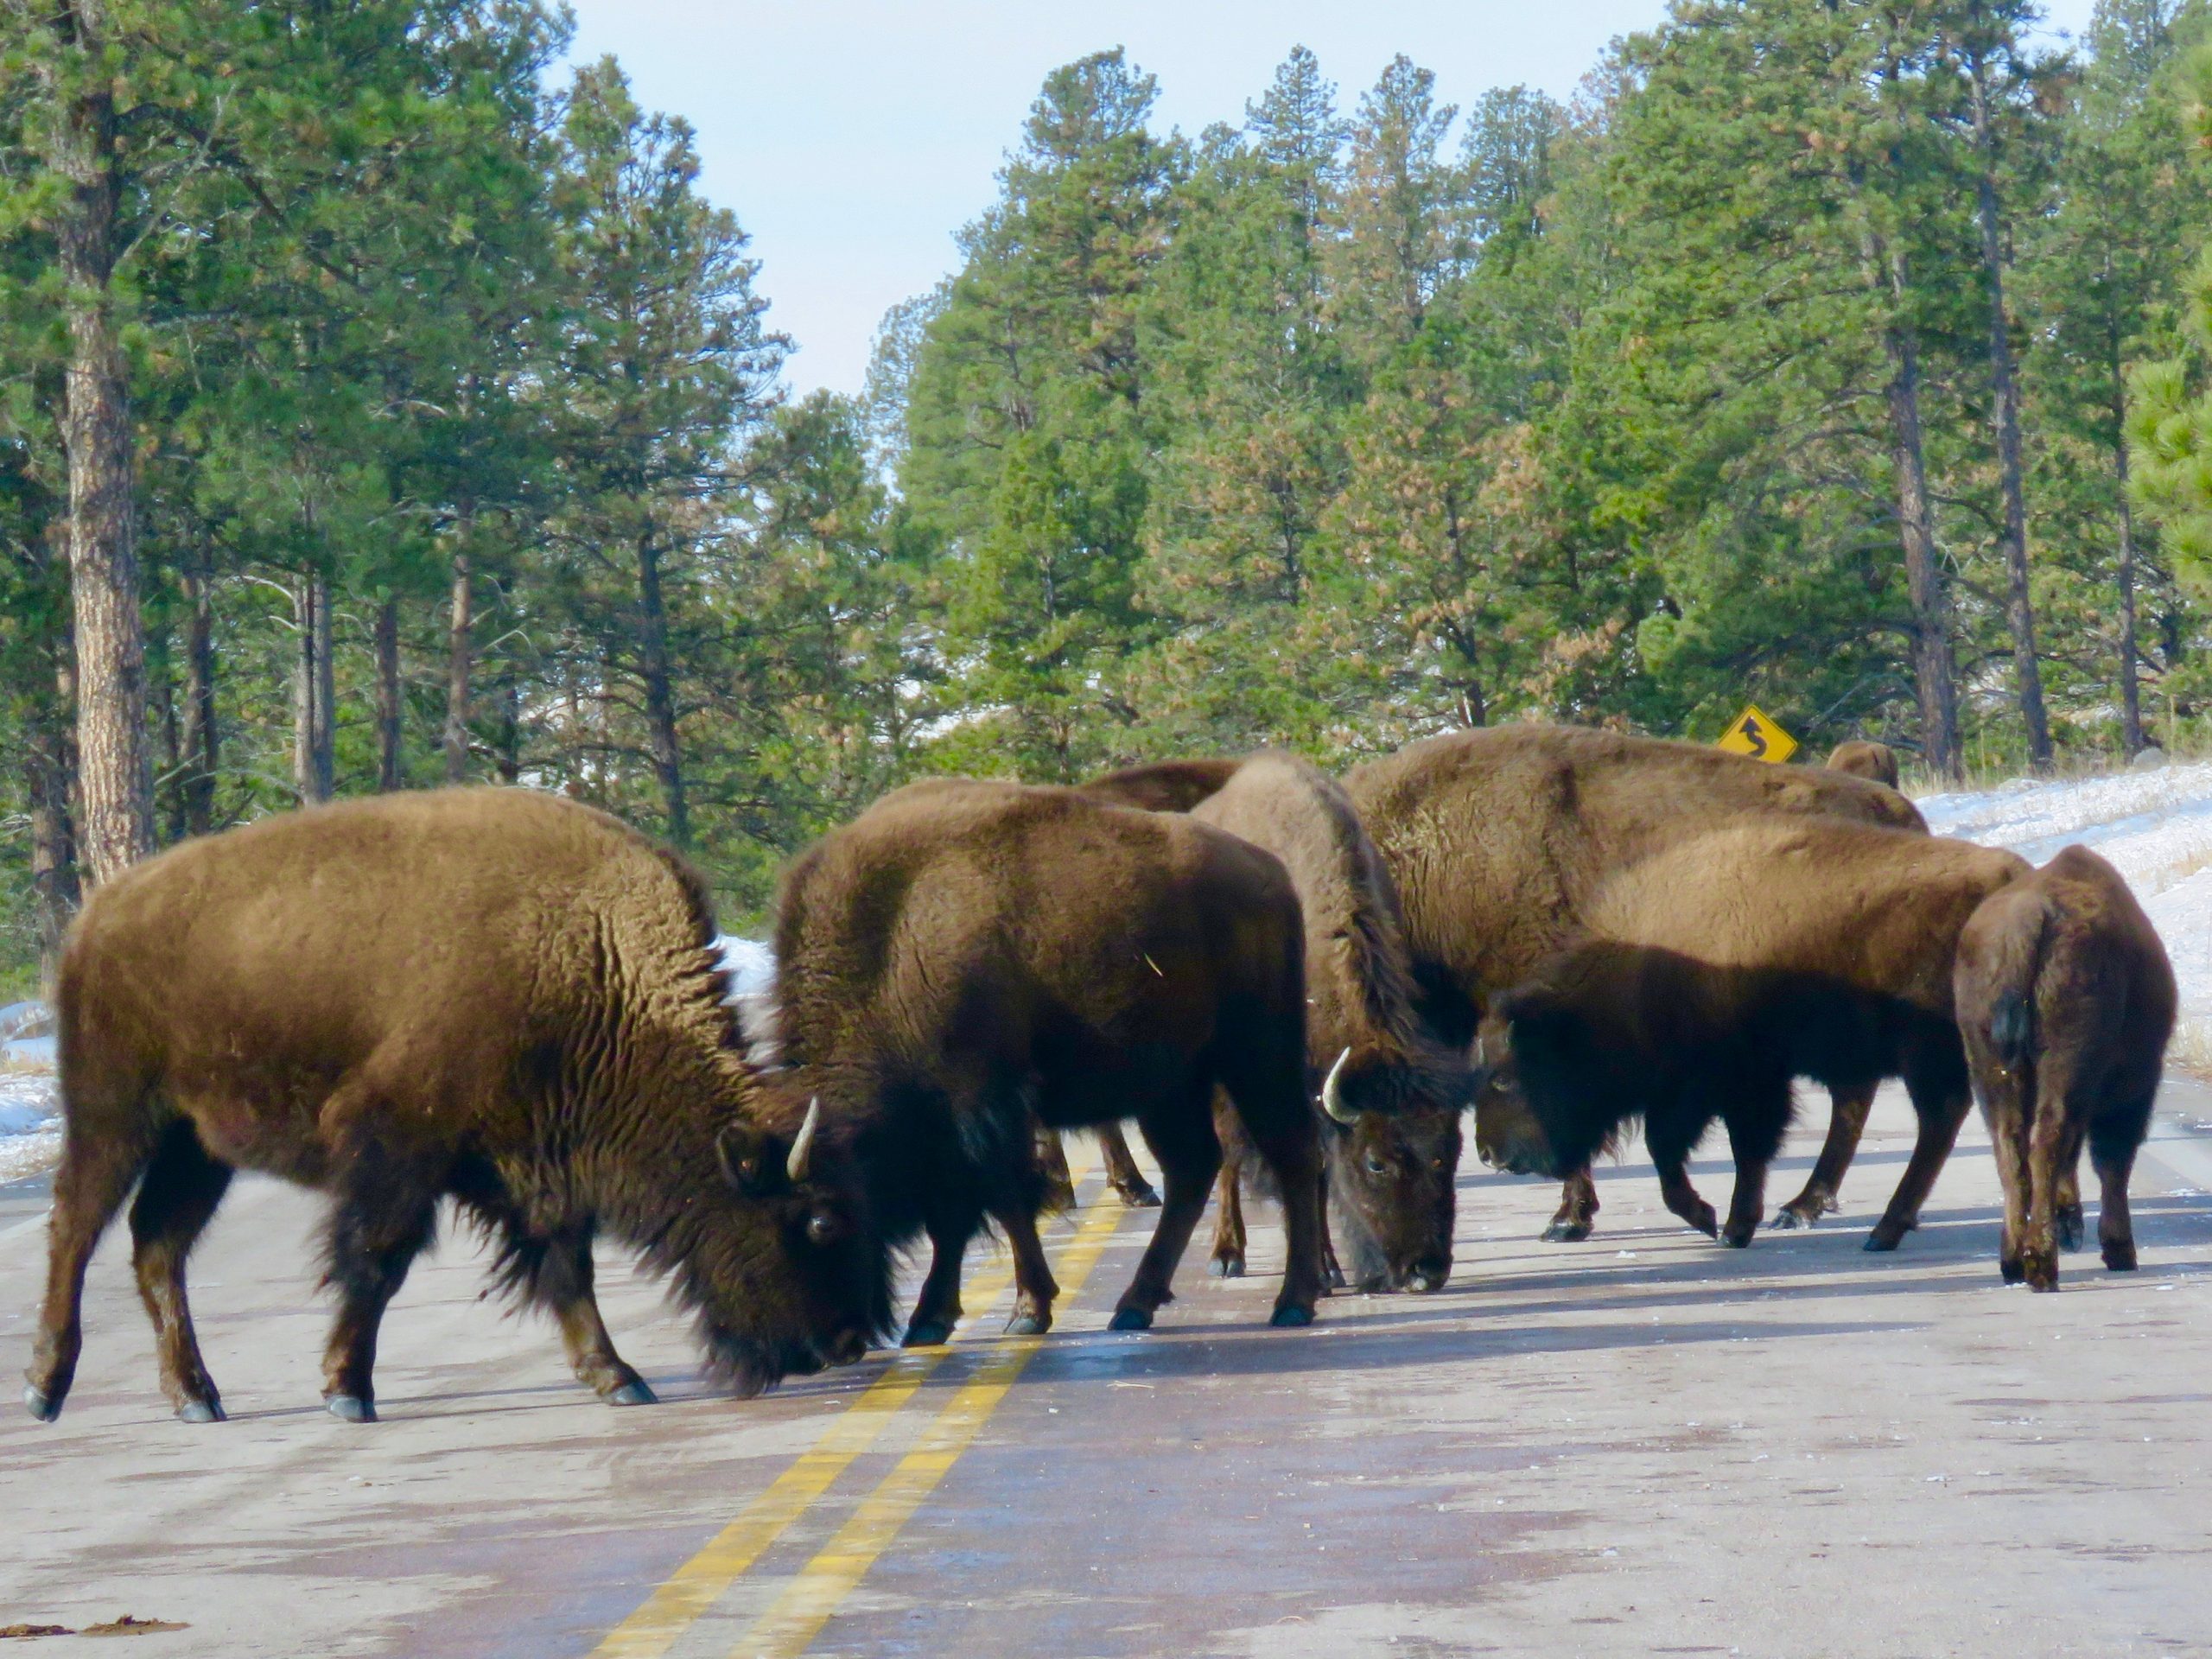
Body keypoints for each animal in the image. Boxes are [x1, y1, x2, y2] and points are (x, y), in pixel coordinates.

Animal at [26, 789, 883, 1425]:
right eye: (815, 1221)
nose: (847, 1341)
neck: (591, 961)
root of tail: (97, 917)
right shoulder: (399, 1149)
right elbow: (378, 1260)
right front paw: (347, 1391)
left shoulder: (535, 1168)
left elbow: (567, 1268)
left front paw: (618, 1377)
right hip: (117, 1115)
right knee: (76, 1226)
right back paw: (46, 1388)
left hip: (197, 1144)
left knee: (157, 1245)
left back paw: (197, 1398)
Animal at [769, 779, 1328, 1341]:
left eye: (820, 1222)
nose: (822, 1342)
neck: (892, 946)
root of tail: (1271, 874)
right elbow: (961, 1216)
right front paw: (933, 1320)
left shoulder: (981, 1109)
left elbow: (1000, 1203)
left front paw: (1023, 1311)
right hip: (1172, 1084)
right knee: (1193, 1166)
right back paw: (1135, 1305)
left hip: (1257, 1053)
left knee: (1293, 1149)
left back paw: (1293, 1302)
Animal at [1955, 845, 2175, 1289]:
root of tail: (2031, 920)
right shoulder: (2133, 1091)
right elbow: (2112, 1162)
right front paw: (2119, 1249)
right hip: (2069, 1067)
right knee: (2050, 1139)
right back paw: (2042, 1262)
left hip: (1989, 1069)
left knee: (2011, 1149)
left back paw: (2013, 1259)